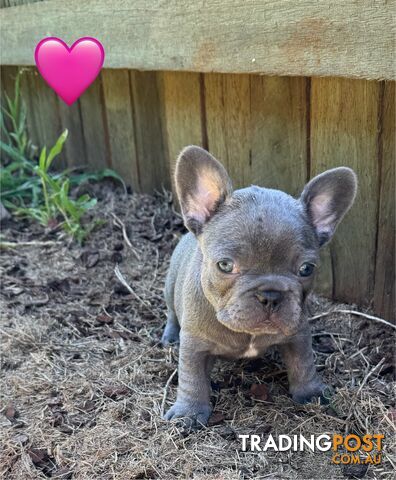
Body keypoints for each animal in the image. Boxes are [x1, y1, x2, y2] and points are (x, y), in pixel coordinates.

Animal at [162, 145, 358, 428]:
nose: (270, 295)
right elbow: (192, 377)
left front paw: (311, 392)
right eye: (225, 265)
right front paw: (189, 412)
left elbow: (304, 364)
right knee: (171, 313)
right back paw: (169, 336)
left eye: (306, 269)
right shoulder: (194, 344)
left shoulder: (298, 334)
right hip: (169, 289)